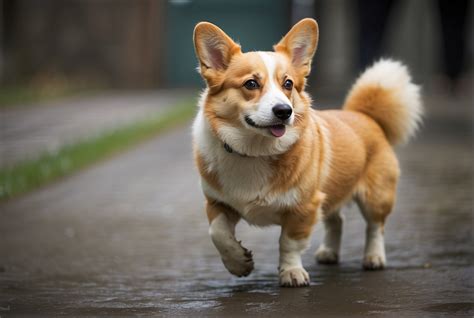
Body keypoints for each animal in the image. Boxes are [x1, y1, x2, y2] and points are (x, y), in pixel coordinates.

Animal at [192, 18, 422, 286]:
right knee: (337, 220)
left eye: (288, 84)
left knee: (375, 227)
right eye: (251, 84)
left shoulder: (303, 208)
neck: (255, 151)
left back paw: (374, 258)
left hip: (376, 197)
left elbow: (288, 243)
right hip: (330, 193)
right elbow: (217, 233)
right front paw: (238, 263)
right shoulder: (216, 203)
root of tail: (364, 115)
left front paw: (291, 272)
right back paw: (329, 253)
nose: (284, 111)